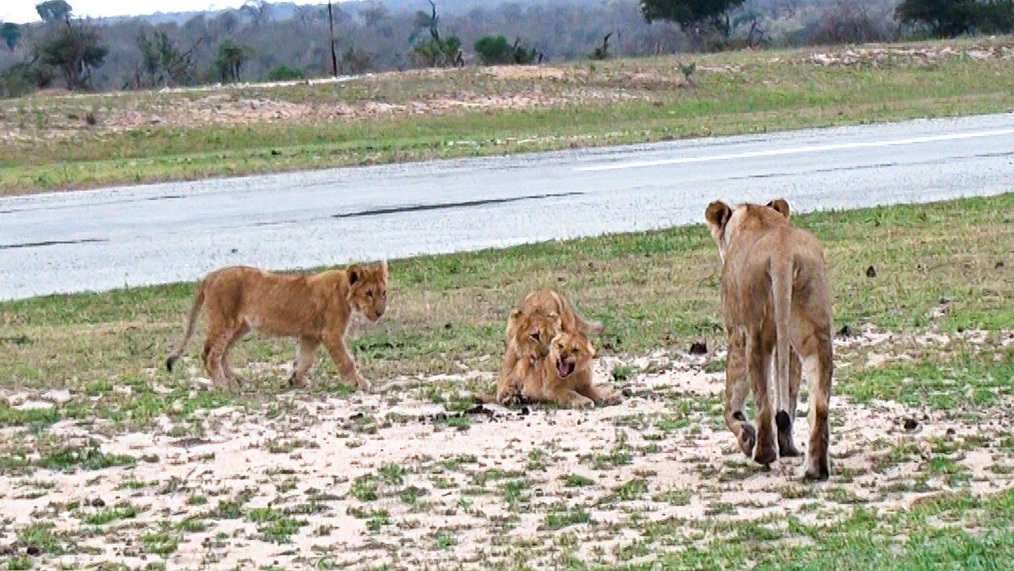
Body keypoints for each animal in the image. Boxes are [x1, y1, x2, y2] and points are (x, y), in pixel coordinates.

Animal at [165, 262, 388, 391]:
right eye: (368, 293)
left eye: (383, 293)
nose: (380, 312)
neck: (343, 289)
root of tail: (210, 275)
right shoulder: (330, 334)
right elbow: (346, 361)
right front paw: (362, 383)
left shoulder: (311, 335)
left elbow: (305, 359)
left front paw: (296, 380)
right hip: (224, 322)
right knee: (210, 354)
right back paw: (224, 386)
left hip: (239, 327)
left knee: (223, 353)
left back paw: (237, 380)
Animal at [704, 198, 833, 481]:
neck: (757, 217)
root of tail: (782, 252)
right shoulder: (790, 348)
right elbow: (791, 394)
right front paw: (788, 446)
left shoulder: (736, 331)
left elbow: (733, 397)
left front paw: (745, 436)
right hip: (814, 330)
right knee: (819, 403)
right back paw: (814, 469)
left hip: (757, 334)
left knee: (763, 401)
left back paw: (762, 453)